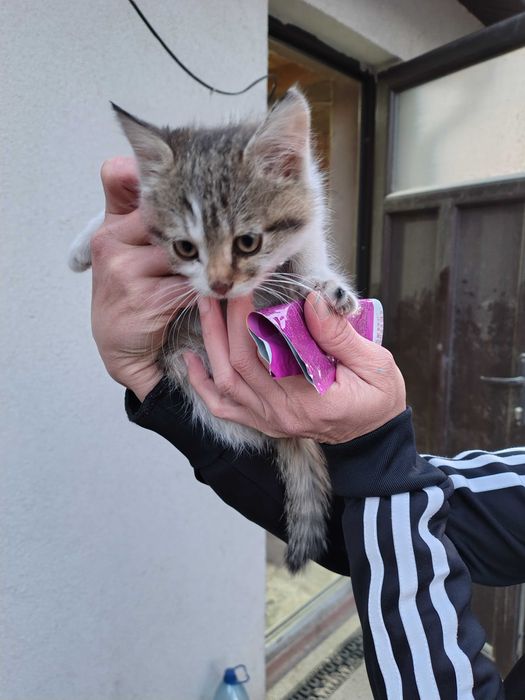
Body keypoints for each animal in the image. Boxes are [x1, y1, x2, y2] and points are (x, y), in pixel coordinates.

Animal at [69, 87, 358, 573]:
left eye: (248, 242)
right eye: (186, 247)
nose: (220, 285)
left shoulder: (309, 217)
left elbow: (307, 257)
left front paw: (326, 285)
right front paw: (83, 243)